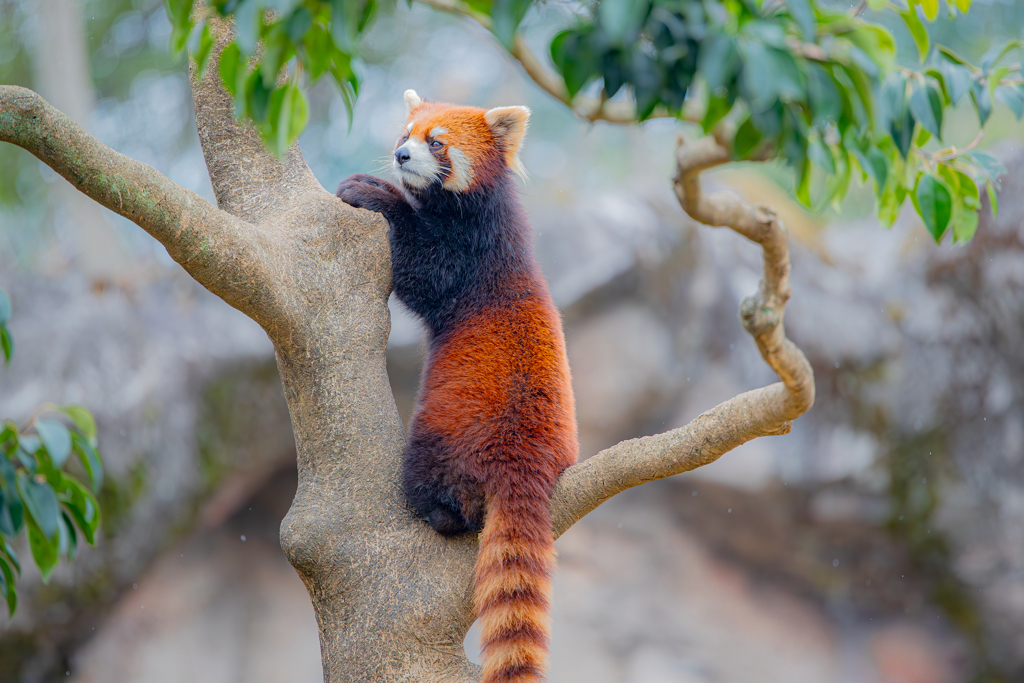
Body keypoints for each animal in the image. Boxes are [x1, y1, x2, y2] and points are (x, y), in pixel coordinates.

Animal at [335, 90, 577, 683]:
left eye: (437, 142)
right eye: (405, 133)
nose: (400, 156)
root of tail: (525, 461)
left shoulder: (467, 260)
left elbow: (421, 266)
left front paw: (372, 193)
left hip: (447, 435)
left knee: (436, 486)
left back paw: (438, 511)